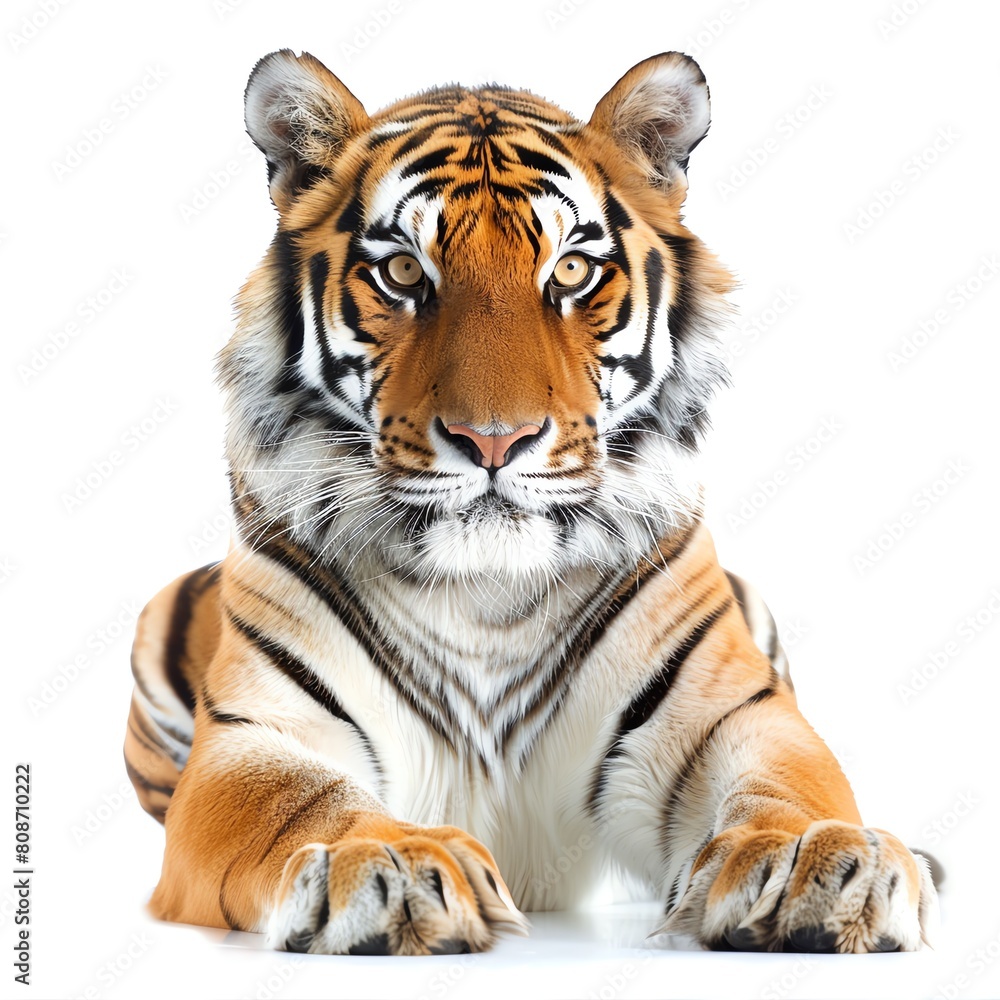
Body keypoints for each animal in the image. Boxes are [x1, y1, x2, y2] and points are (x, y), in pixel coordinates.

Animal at [124, 49, 938, 955]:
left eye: (571, 272)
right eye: (403, 272)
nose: (493, 439)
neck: (487, 593)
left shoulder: (733, 716)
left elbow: (787, 786)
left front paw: (815, 862)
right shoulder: (256, 737)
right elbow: (301, 802)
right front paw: (388, 865)